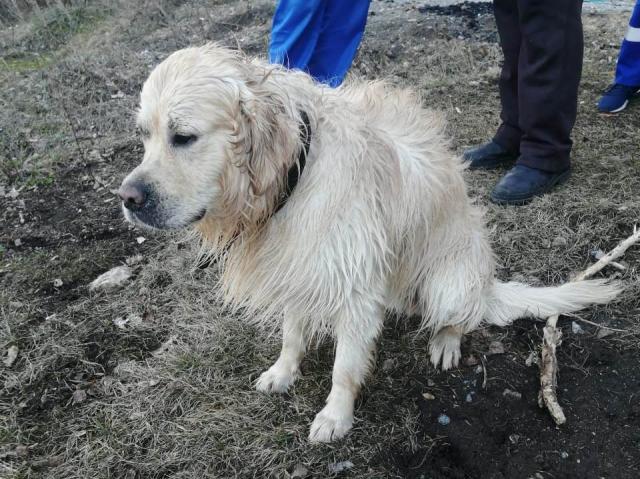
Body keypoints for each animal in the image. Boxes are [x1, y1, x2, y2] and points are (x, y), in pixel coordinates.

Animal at [117, 47, 624, 444]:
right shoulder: (300, 263)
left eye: (184, 136)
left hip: (449, 281)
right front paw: (283, 372)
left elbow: (344, 367)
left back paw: (445, 342)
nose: (127, 198)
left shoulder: (355, 285)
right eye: (144, 135)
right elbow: (292, 333)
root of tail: (486, 286)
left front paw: (335, 418)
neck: (294, 173)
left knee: (461, 317)